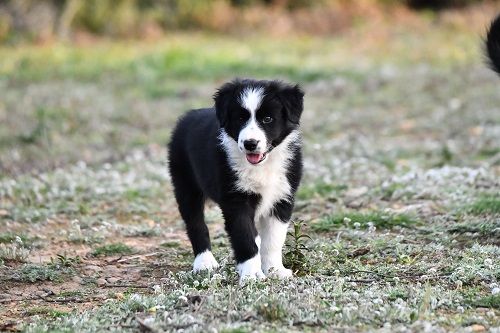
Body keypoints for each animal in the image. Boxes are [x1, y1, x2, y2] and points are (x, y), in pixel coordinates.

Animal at [168, 79, 302, 282]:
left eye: (268, 119)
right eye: (239, 119)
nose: (250, 143)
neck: (262, 166)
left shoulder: (282, 197)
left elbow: (273, 240)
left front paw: (275, 270)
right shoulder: (236, 201)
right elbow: (244, 237)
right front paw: (252, 274)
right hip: (186, 184)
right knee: (195, 223)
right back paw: (204, 262)